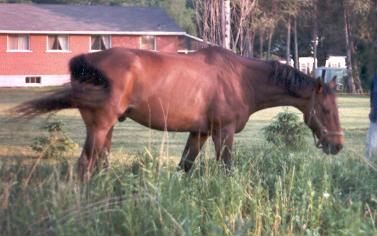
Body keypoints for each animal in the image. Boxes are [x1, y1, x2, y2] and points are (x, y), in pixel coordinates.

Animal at [13, 45, 344, 179]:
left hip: (106, 129)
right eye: (326, 109)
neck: (241, 78)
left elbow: (184, 166)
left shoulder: (199, 132)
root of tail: (89, 61)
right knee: (85, 166)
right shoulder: (222, 133)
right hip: (99, 127)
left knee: (98, 164)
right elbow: (227, 169)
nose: (337, 145)